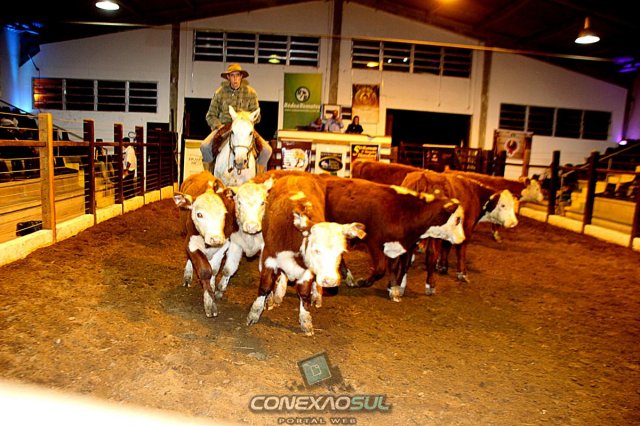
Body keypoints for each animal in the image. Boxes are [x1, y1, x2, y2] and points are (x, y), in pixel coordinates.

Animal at [173, 171, 236, 318]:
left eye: (223, 213)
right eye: (199, 214)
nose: (216, 238)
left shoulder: (224, 244)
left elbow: (214, 269)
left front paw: (212, 289)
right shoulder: (190, 243)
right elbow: (204, 270)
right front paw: (209, 303)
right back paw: (188, 276)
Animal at [246, 173, 365, 335]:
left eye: (341, 252)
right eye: (316, 249)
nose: (330, 281)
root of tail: (296, 174)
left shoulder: (307, 272)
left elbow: (304, 294)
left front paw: (306, 321)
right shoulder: (269, 258)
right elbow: (265, 287)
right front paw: (254, 313)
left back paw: (316, 295)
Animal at [320, 175, 466, 301]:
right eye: (457, 219)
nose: (463, 239)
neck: (405, 211)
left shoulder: (397, 245)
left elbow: (395, 267)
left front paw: (393, 288)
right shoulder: (374, 242)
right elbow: (380, 269)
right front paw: (362, 282)